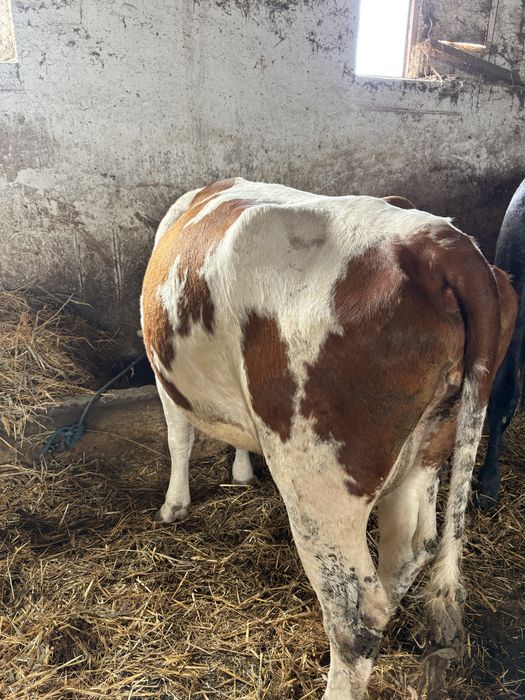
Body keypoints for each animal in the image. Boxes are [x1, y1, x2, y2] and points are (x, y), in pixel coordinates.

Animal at [140, 178, 517, 699]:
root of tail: (438, 244)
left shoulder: (165, 379)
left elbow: (179, 438)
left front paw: (173, 506)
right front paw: (240, 471)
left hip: (318, 476)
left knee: (355, 613)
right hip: (428, 447)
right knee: (408, 551)